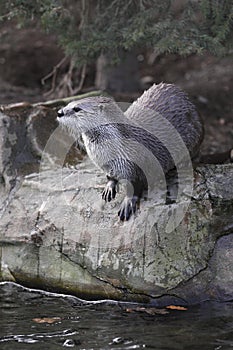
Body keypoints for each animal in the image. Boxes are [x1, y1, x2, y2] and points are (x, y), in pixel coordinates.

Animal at [57, 83, 203, 220]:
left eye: (77, 109)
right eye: (68, 104)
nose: (59, 112)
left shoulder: (134, 168)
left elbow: (134, 187)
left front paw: (127, 204)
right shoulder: (108, 167)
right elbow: (111, 177)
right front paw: (109, 187)